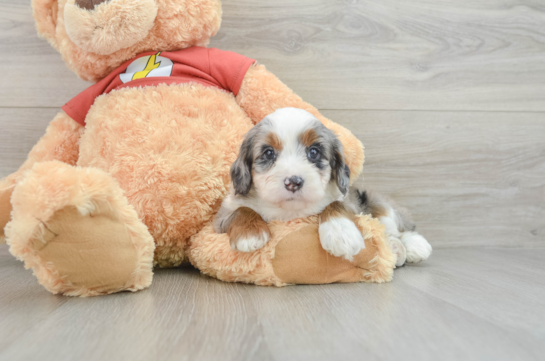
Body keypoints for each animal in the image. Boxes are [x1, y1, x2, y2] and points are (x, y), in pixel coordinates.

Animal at [212, 107, 430, 264]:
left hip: (376, 203)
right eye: (268, 153)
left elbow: (335, 204)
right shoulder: (219, 219)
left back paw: (412, 245)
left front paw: (341, 233)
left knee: (394, 228)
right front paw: (250, 234)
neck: (290, 211)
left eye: (314, 152)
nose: (293, 182)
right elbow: (241, 210)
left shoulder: (349, 200)